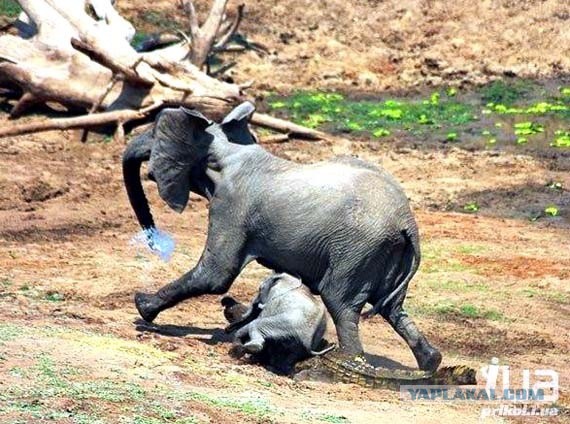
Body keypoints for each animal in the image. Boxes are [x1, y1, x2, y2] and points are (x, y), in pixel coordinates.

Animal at [123, 102, 444, 372]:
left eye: (153, 133)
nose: (153, 242)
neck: (226, 149)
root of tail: (407, 222)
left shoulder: (231, 206)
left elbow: (215, 275)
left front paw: (142, 308)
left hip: (357, 249)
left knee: (340, 303)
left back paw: (346, 364)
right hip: (386, 254)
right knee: (393, 309)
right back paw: (431, 363)